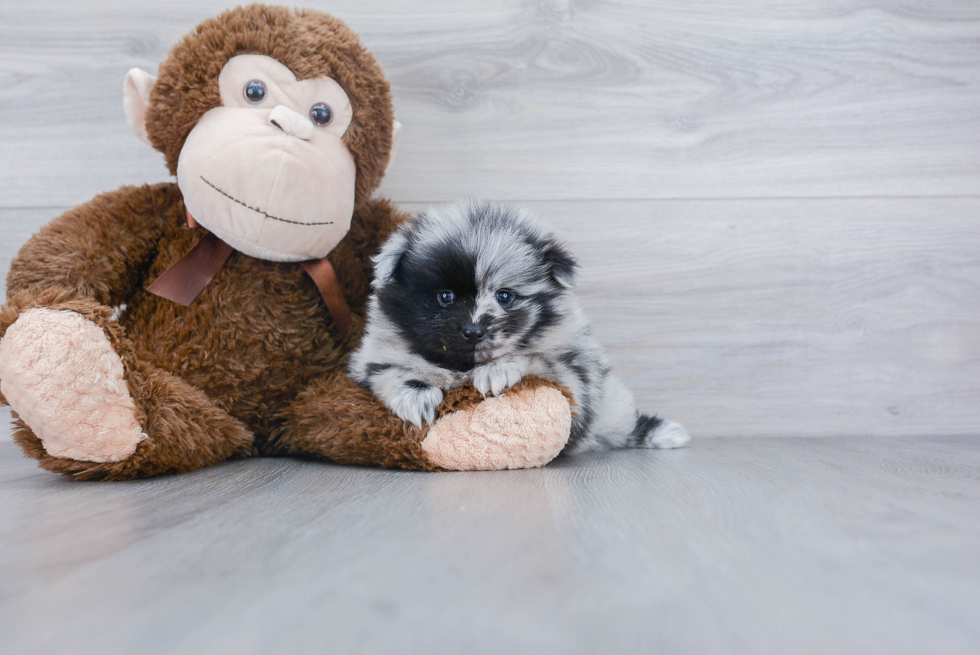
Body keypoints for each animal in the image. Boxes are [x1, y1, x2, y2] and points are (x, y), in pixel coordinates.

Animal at [350, 200, 688, 454]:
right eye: (445, 297)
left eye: (505, 296)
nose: (474, 331)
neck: (463, 364)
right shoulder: (373, 359)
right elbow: (392, 372)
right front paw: (415, 396)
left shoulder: (576, 379)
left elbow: (535, 357)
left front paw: (497, 370)